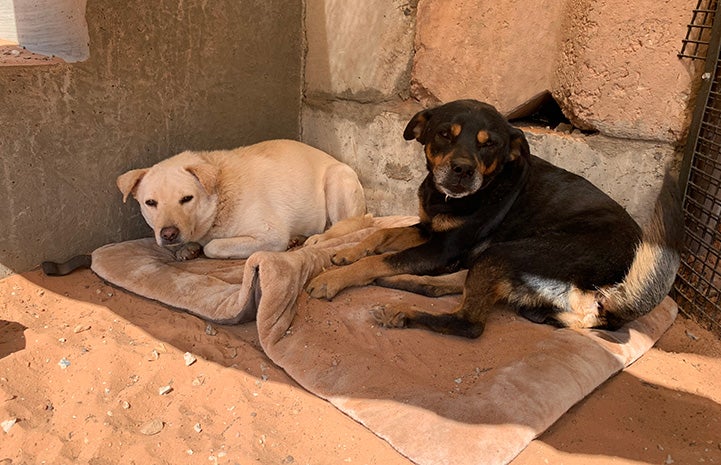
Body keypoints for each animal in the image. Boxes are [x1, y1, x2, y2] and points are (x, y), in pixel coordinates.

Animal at [118, 138, 368, 260]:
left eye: (187, 198)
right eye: (151, 203)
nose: (168, 234)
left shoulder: (270, 235)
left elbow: (213, 246)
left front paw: (202, 247)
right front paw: (187, 248)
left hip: (336, 178)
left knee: (350, 225)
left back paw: (316, 238)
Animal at [306, 99, 684, 338]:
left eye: (489, 144)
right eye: (445, 133)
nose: (462, 170)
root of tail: (610, 298)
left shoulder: (441, 248)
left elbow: (378, 259)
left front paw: (334, 279)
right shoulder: (429, 230)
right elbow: (379, 237)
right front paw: (346, 253)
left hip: (510, 252)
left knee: (468, 323)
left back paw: (405, 311)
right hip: (502, 261)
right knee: (455, 284)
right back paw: (402, 283)